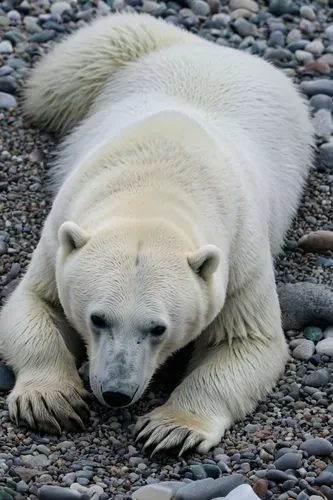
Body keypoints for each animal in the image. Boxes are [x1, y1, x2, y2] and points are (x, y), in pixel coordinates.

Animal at [0, 12, 314, 458]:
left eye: (158, 328)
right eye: (97, 318)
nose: (116, 392)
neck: (156, 184)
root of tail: (201, 45)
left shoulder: (240, 256)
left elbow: (247, 341)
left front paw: (171, 428)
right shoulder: (60, 234)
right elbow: (34, 304)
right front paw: (50, 400)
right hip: (105, 59)